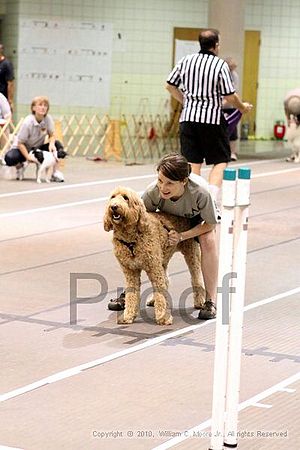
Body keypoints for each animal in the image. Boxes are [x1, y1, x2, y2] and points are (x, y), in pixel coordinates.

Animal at [103, 185, 206, 326]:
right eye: (112, 197)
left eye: (126, 198)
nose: (113, 206)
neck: (131, 240)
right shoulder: (130, 271)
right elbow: (132, 294)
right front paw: (128, 315)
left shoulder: (153, 267)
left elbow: (160, 290)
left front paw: (163, 317)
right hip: (162, 258)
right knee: (165, 280)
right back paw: (153, 300)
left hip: (190, 253)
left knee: (196, 277)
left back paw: (200, 301)